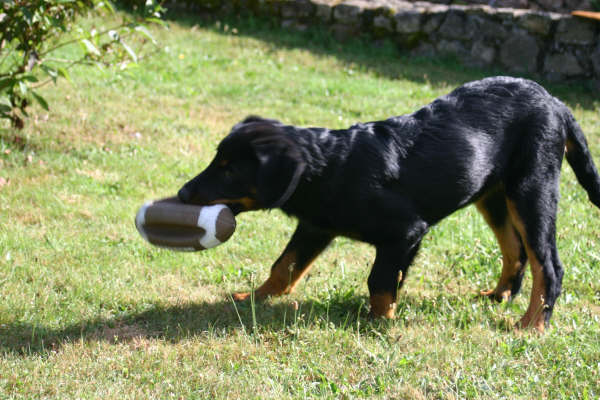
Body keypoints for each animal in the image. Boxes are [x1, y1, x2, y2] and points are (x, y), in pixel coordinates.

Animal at [178, 76, 600, 332]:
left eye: (230, 171)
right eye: (216, 160)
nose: (182, 194)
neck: (331, 168)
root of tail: (556, 102)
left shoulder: (405, 232)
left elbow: (380, 280)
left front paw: (378, 323)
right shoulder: (316, 226)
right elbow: (285, 265)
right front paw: (254, 298)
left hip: (531, 188)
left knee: (549, 264)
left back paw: (532, 325)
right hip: (493, 193)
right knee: (516, 250)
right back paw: (499, 297)